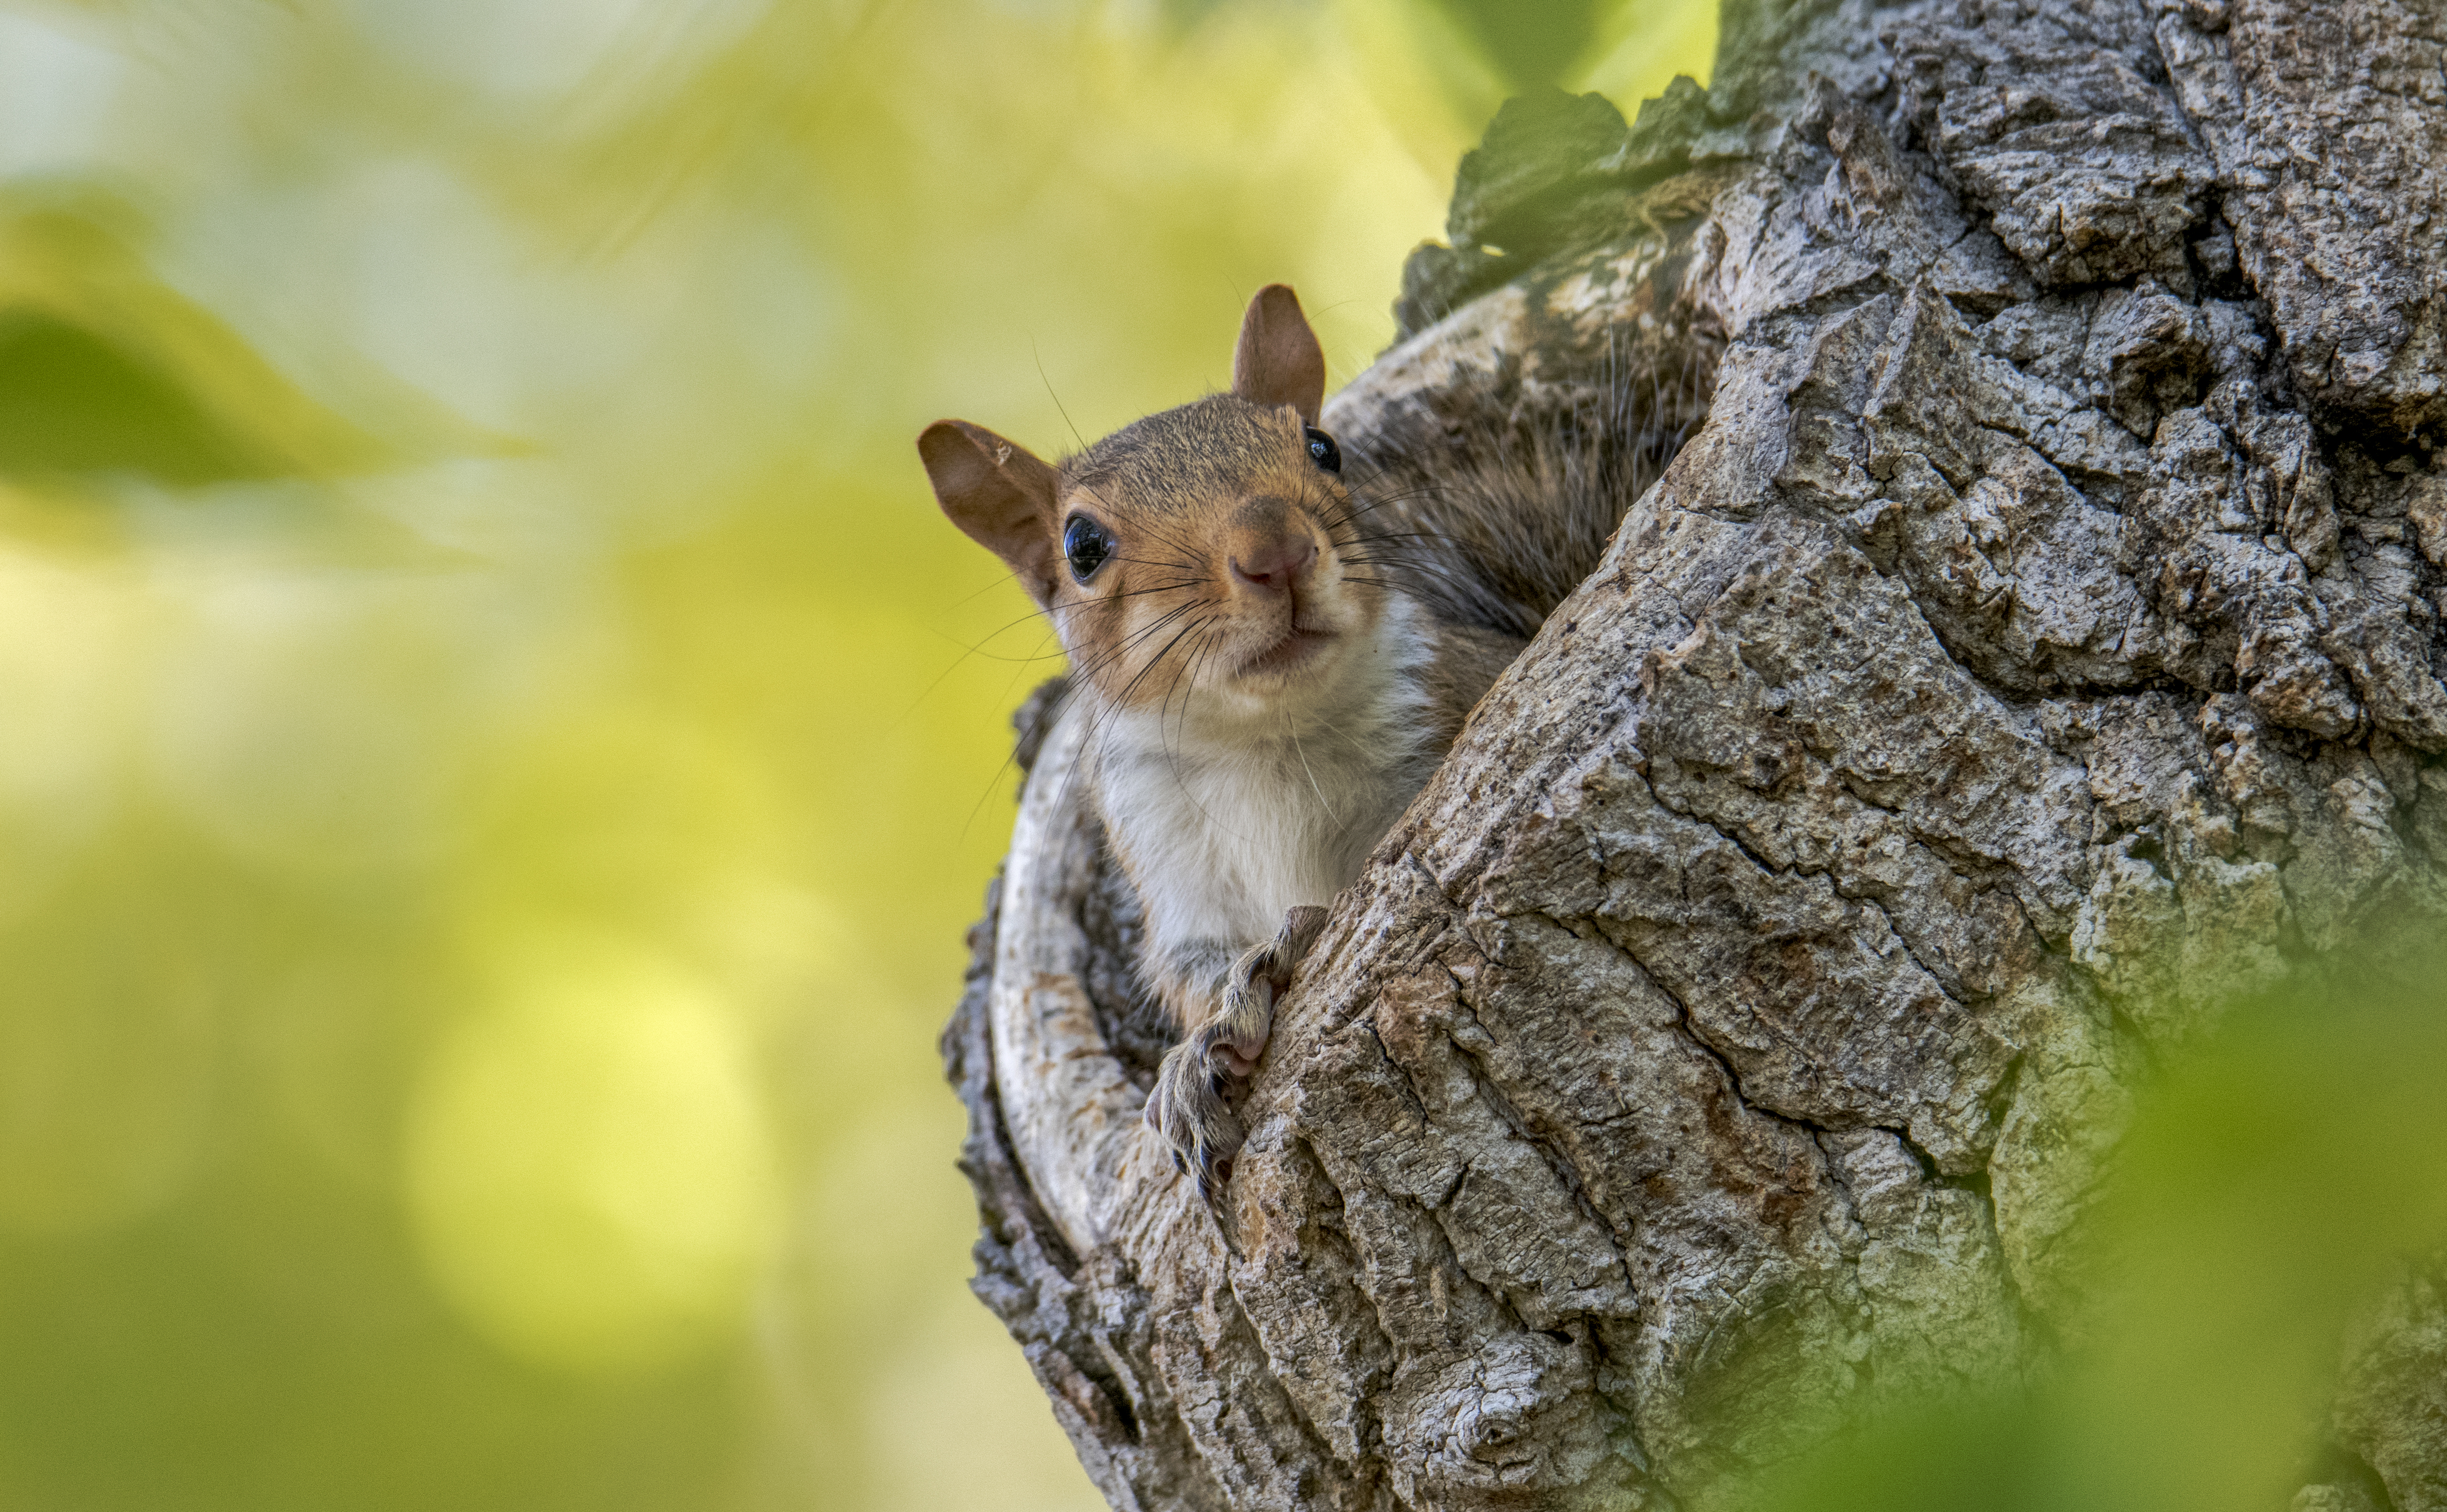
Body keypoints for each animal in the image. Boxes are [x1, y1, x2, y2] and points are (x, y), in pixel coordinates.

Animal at [919, 285, 1663, 1202]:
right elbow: (1192, 973)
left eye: (1323, 448)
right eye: (1081, 546)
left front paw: (1293, 943)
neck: (1270, 738)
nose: (1274, 550)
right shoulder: (1171, 868)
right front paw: (1194, 1060)